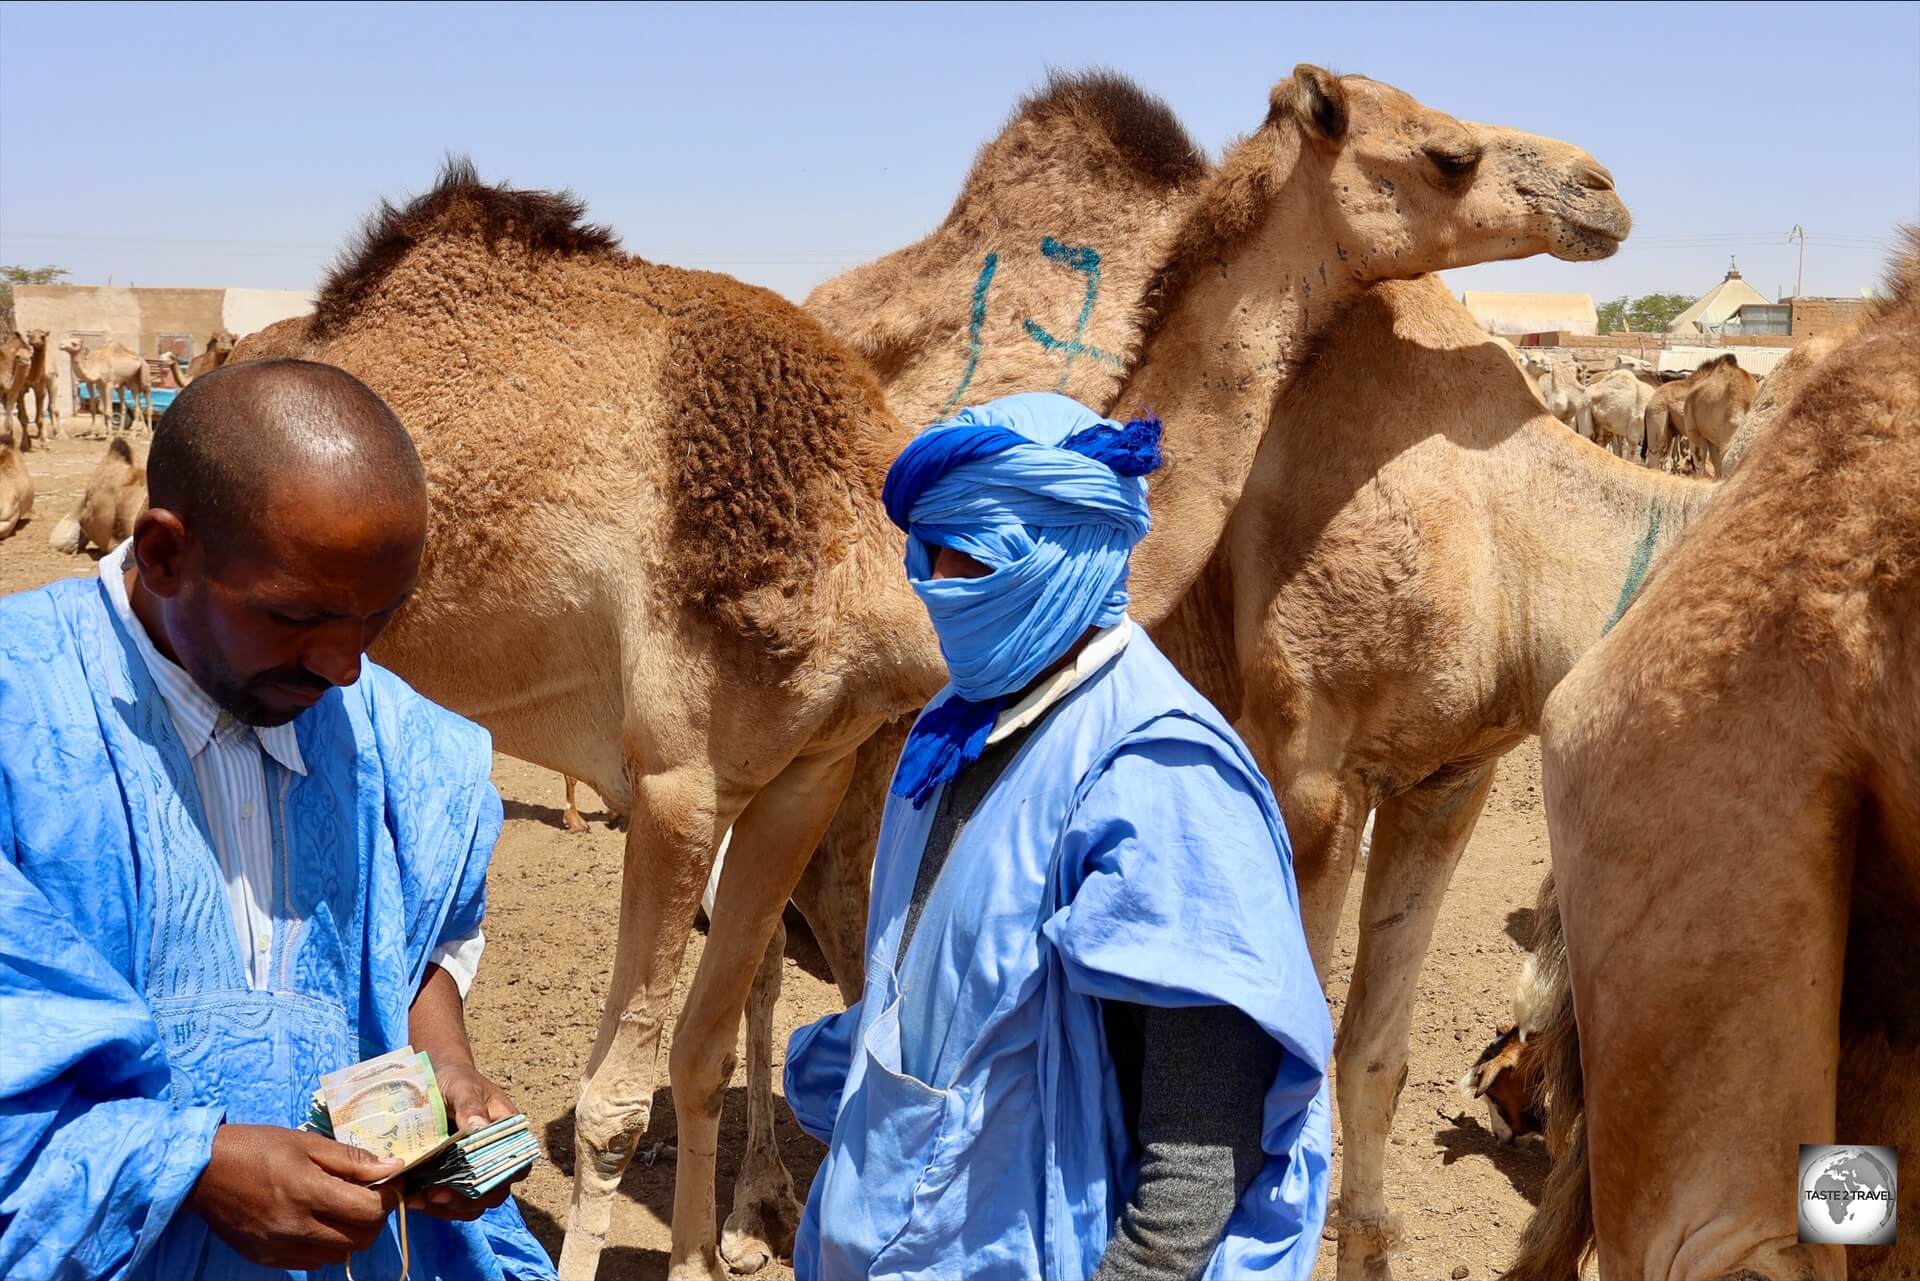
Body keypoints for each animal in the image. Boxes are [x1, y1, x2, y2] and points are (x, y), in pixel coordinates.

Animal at [224, 62, 1628, 1281]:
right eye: (1446, 152)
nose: (1601, 187)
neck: (865, 555)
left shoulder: (805, 768)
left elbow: (694, 1050)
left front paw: (709, 1254)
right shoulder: (676, 778)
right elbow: (617, 1099)